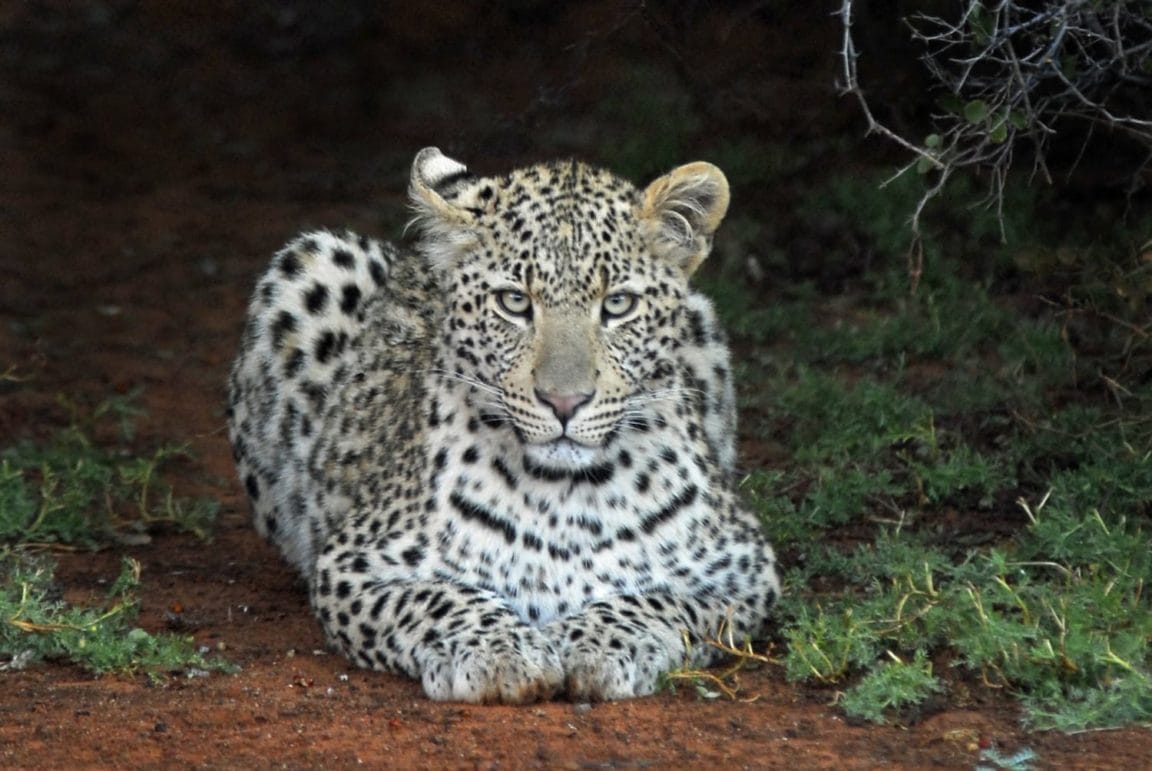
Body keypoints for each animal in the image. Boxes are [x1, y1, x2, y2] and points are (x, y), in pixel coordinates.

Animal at [224, 145, 783, 705]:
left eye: (618, 305)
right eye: (514, 302)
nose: (564, 402)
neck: (564, 497)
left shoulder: (744, 569)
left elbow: (661, 602)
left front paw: (600, 643)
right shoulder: (352, 565)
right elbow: (435, 598)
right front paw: (497, 651)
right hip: (311, 264)